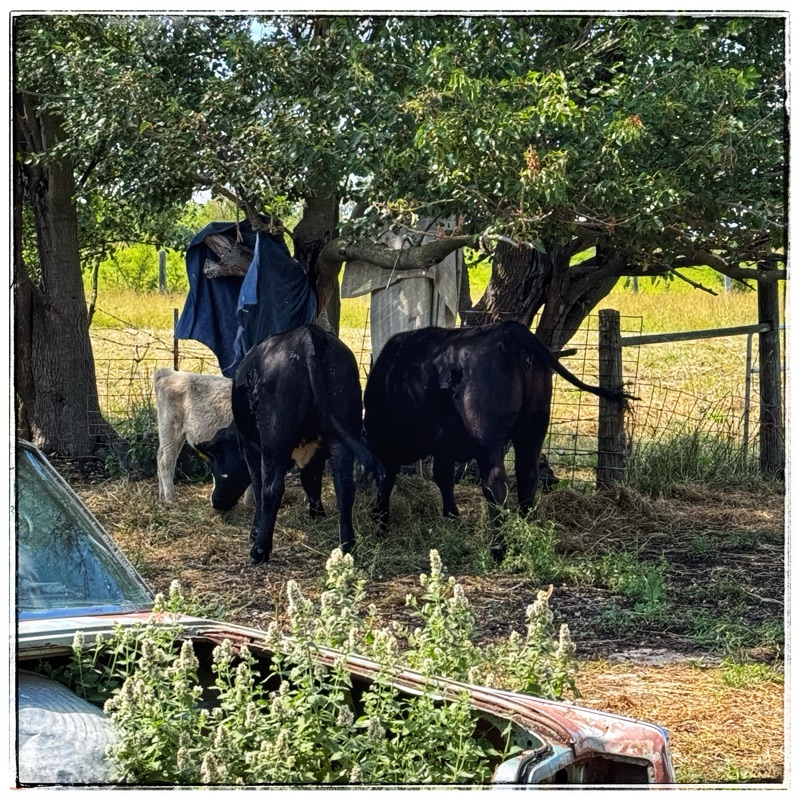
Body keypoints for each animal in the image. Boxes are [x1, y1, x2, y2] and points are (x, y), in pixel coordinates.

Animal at [153, 368, 252, 509]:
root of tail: (170, 373)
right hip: (171, 429)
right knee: (166, 462)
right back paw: (169, 499)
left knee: (159, 455)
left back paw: (162, 495)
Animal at [195, 324, 382, 565]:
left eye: (214, 468)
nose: (216, 502)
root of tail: (308, 333)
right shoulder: (315, 451)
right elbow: (311, 480)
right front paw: (317, 515)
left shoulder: (250, 448)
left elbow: (257, 485)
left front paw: (254, 531)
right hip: (342, 431)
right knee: (345, 486)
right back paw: (348, 546)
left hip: (275, 441)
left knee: (272, 489)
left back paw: (259, 550)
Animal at [362, 321, 633, 561]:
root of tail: (508, 329)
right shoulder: (444, 444)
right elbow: (442, 476)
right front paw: (452, 517)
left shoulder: (390, 444)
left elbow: (389, 478)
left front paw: (380, 522)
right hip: (532, 428)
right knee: (527, 476)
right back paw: (527, 532)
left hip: (487, 439)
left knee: (495, 484)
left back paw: (499, 548)